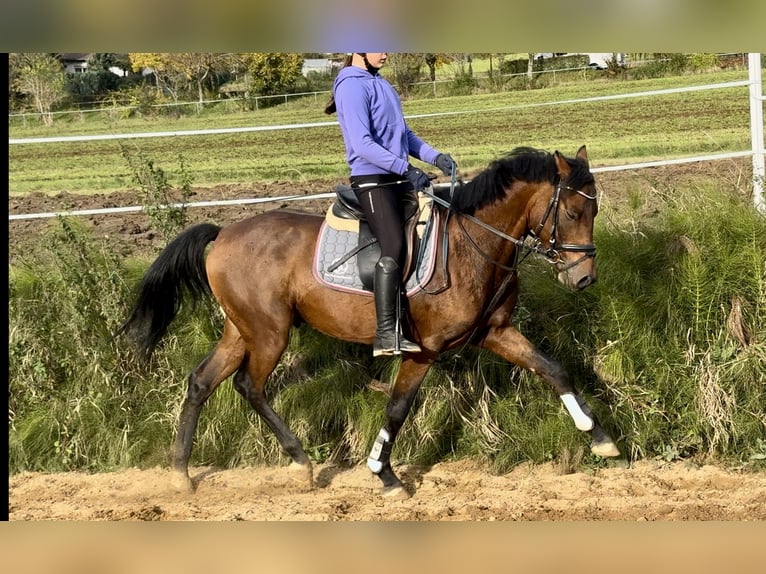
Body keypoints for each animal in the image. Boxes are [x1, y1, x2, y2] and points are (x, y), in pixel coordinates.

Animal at [121, 145, 624, 500]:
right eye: (573, 212)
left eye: (595, 211)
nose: (584, 278)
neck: (473, 243)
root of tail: (224, 232)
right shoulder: (423, 351)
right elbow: (398, 409)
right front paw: (385, 476)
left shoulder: (496, 332)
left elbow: (553, 370)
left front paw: (601, 439)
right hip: (269, 333)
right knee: (249, 385)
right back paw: (300, 461)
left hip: (240, 330)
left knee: (202, 382)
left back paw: (181, 474)